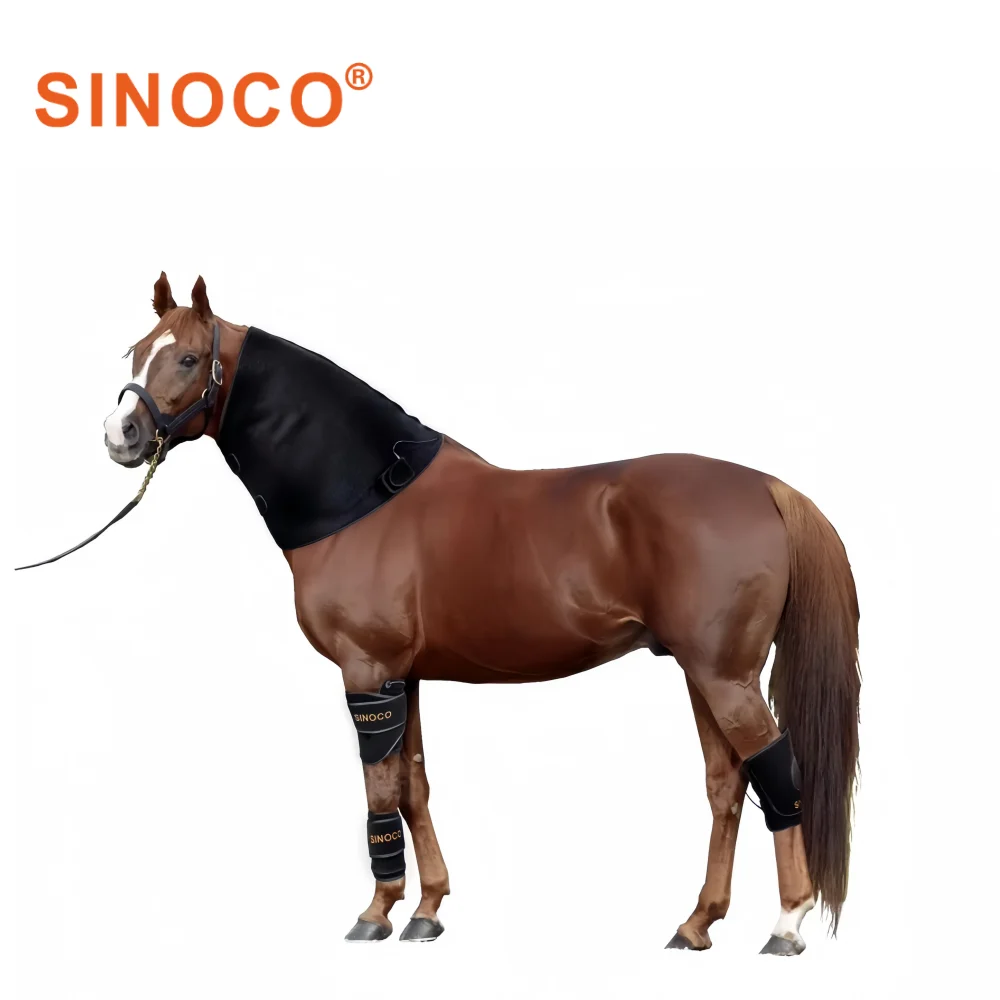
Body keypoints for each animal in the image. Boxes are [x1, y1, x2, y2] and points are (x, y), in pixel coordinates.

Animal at [96, 272, 860, 953]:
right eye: (135, 350)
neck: (363, 495)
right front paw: (426, 910)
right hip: (704, 673)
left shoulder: (364, 672)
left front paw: (375, 913)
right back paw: (696, 924)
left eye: (188, 358)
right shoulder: (401, 677)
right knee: (727, 785)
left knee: (777, 769)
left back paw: (786, 924)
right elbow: (413, 786)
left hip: (724, 676)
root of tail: (770, 488)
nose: (120, 432)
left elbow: (380, 791)